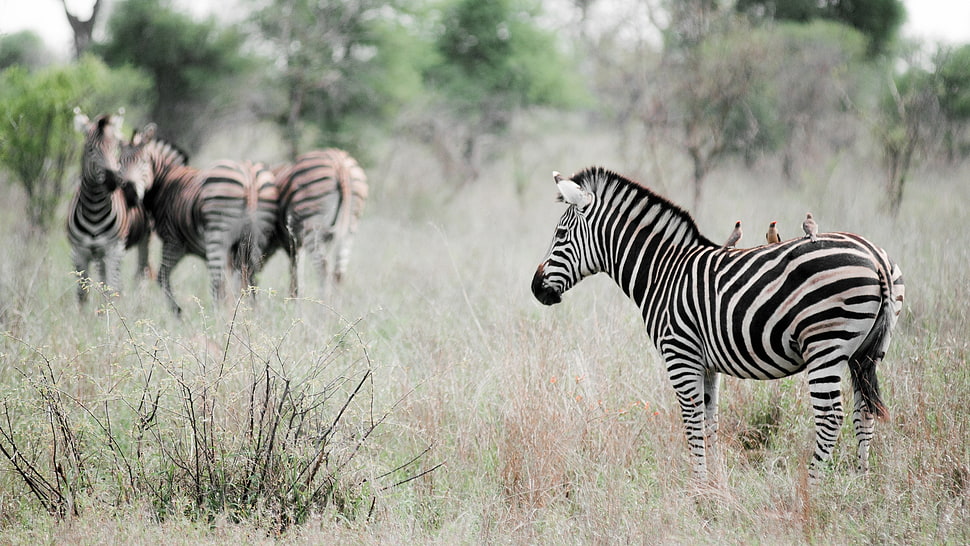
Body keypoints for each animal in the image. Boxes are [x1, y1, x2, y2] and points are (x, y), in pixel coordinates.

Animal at [67, 109, 152, 304]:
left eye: (114, 149)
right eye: (91, 149)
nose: (113, 181)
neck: (93, 209)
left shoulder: (113, 250)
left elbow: (112, 289)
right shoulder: (79, 252)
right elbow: (83, 294)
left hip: (143, 238)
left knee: (141, 274)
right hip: (100, 256)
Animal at [118, 124, 279, 315]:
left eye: (143, 162)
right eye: (119, 162)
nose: (129, 192)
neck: (165, 182)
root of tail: (249, 176)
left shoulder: (174, 242)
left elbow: (162, 276)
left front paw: (178, 312)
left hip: (217, 233)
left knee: (218, 282)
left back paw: (217, 316)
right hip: (257, 237)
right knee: (252, 276)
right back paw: (253, 314)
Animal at [273, 149, 368, 297]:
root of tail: (340, 164)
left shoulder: (291, 241)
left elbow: (295, 272)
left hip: (312, 227)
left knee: (323, 270)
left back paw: (323, 304)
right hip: (349, 228)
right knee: (338, 273)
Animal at [531, 167, 905, 482]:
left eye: (560, 233)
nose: (536, 289)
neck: (663, 272)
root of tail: (875, 258)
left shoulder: (680, 354)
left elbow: (692, 421)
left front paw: (698, 489)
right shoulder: (706, 363)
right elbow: (710, 421)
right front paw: (714, 486)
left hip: (825, 344)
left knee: (830, 417)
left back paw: (811, 489)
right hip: (867, 351)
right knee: (864, 412)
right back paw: (861, 484)